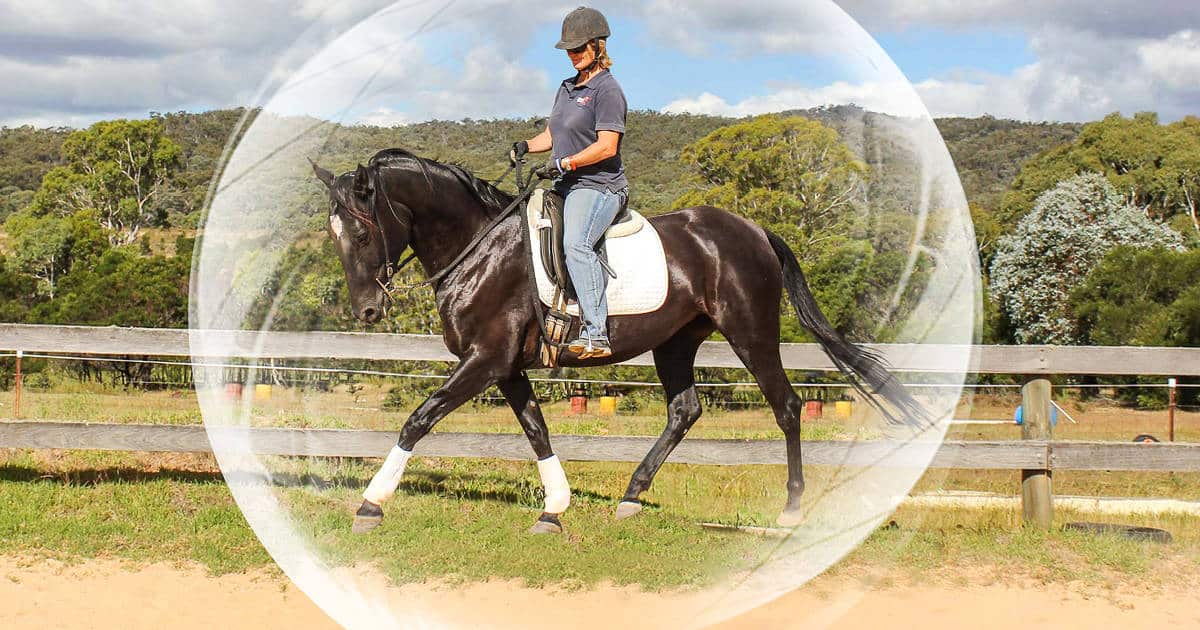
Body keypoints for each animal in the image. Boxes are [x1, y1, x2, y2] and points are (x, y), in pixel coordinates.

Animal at [310, 148, 926, 535]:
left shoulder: (486, 360)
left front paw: (371, 503)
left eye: (360, 230)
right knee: (685, 410)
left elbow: (419, 418)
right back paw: (632, 496)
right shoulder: (505, 366)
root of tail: (752, 229)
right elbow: (537, 429)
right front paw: (554, 509)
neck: (479, 247)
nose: (368, 310)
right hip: (675, 343)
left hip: (750, 331)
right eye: (334, 234)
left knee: (788, 406)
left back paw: (792, 509)